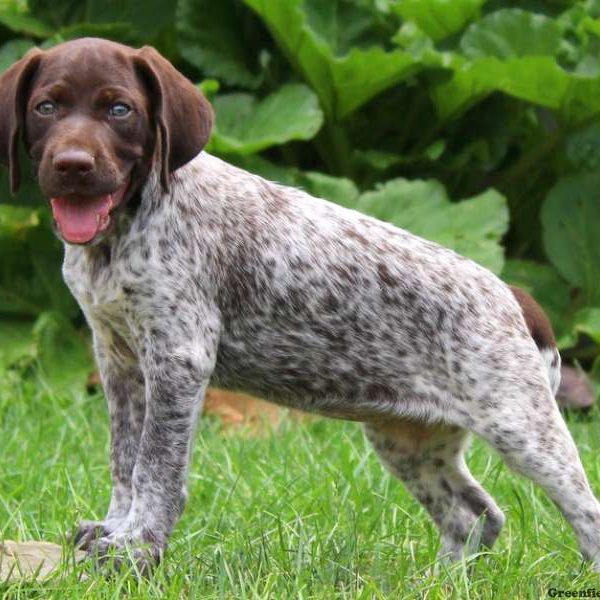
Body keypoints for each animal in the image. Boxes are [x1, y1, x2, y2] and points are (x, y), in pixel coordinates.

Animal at [0, 37, 596, 572]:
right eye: (46, 107)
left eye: (119, 109)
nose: (73, 164)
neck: (123, 231)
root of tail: (514, 296)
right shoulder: (119, 361)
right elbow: (124, 458)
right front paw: (114, 529)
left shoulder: (177, 358)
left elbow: (156, 467)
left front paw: (137, 547)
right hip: (408, 438)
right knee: (475, 515)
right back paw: (439, 583)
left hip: (520, 425)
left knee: (583, 510)